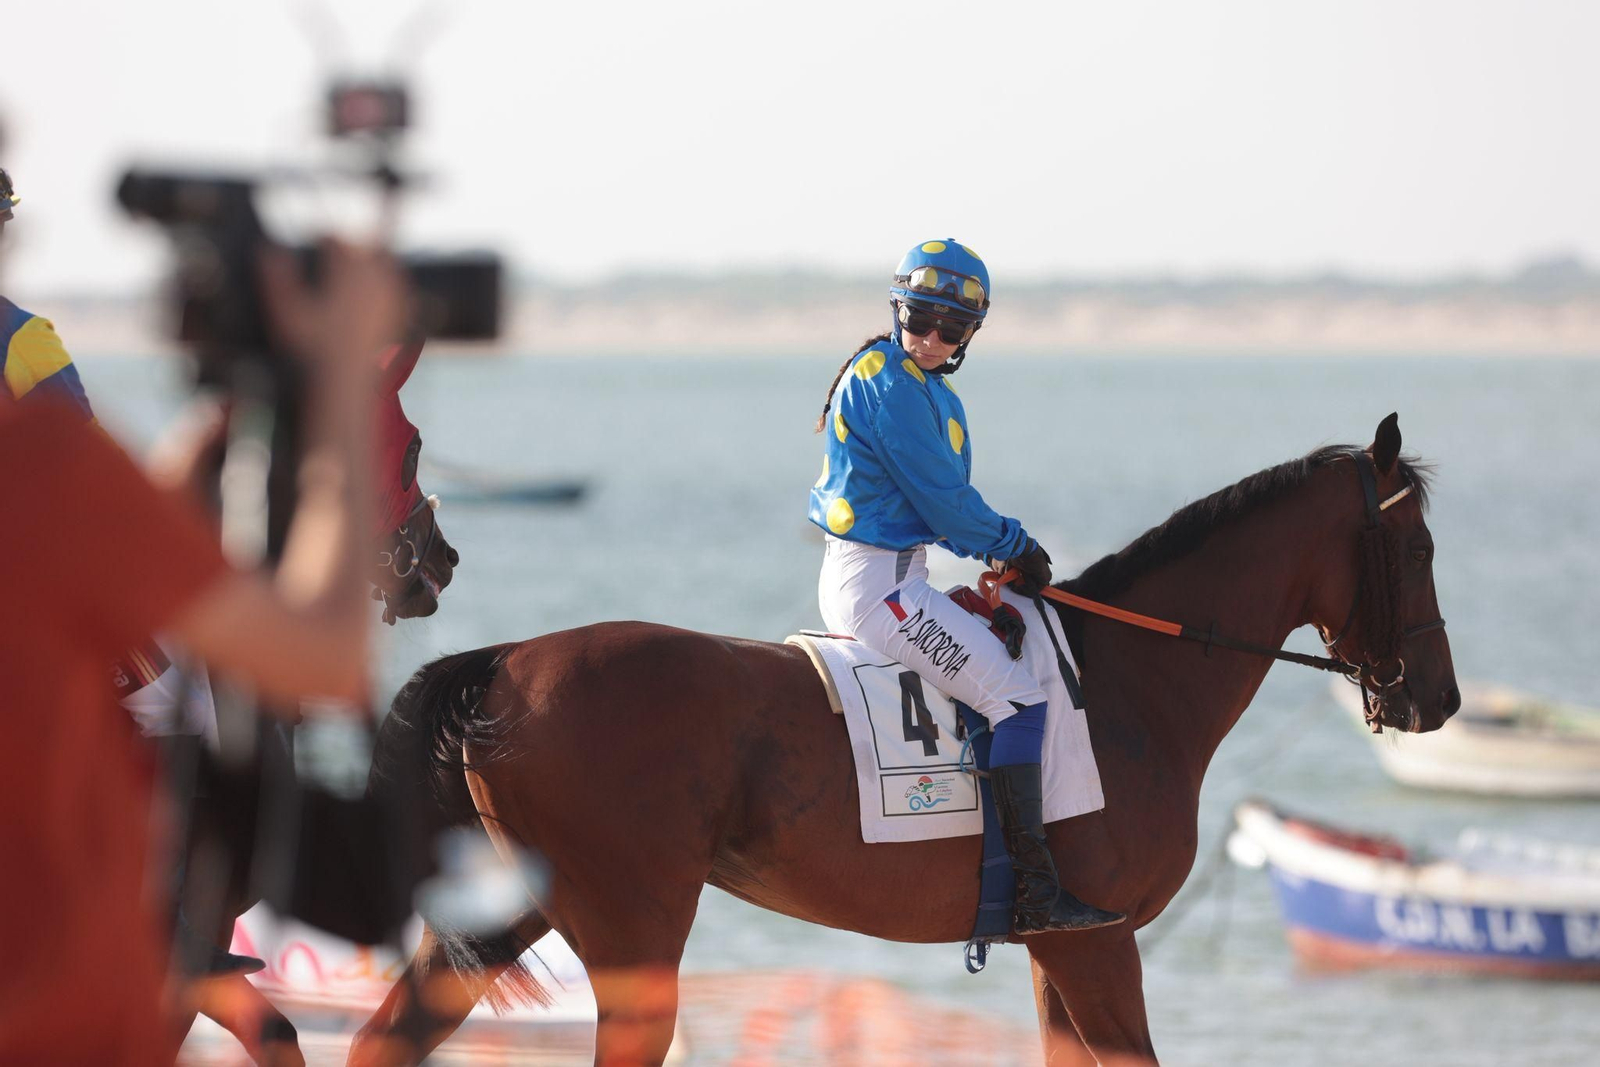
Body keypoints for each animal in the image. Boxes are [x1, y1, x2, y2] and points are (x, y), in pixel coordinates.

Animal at [349, 414, 1458, 1067]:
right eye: (1418, 548)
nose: (1437, 700)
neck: (1130, 681)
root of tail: (508, 660)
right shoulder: (1097, 941)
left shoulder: (1061, 951)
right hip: (634, 932)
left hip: (517, 908)